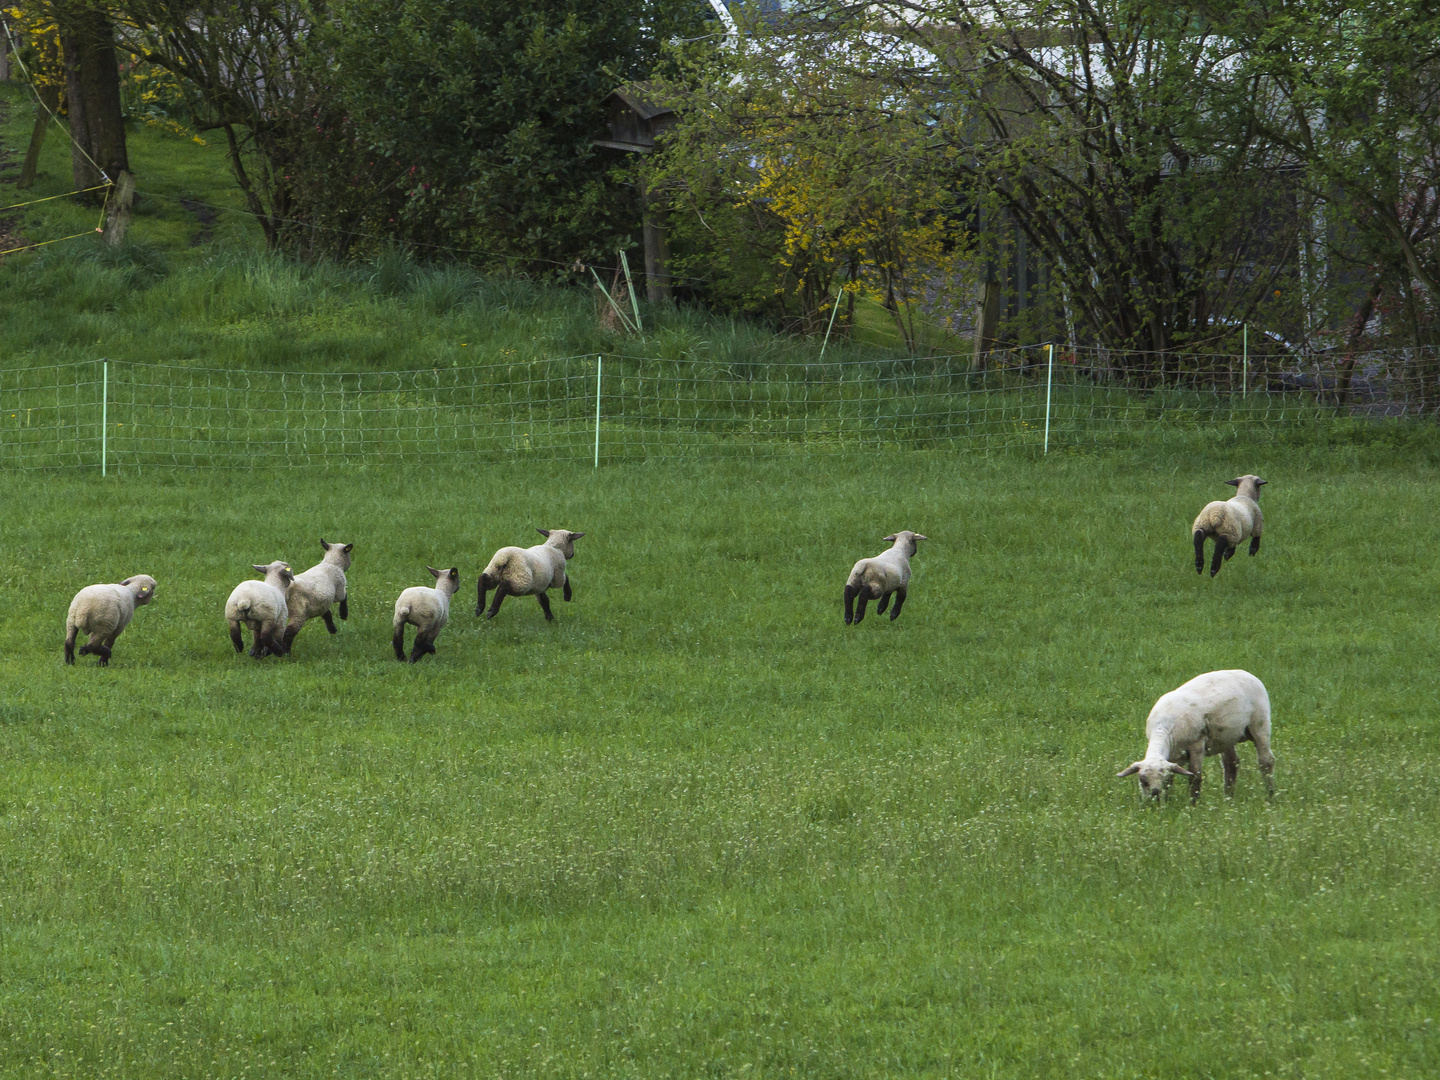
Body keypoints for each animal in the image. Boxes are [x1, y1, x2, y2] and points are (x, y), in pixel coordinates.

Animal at [1117, 668, 1278, 806]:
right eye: (1142, 781)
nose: (1154, 798)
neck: (1162, 729)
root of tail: (1247, 673)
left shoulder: (1197, 745)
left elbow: (1195, 776)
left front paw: (1193, 804)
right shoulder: (1172, 756)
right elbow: (1172, 779)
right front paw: (1168, 803)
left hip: (1260, 724)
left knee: (1266, 762)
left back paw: (1270, 796)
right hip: (1226, 736)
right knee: (1231, 764)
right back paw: (1228, 798)